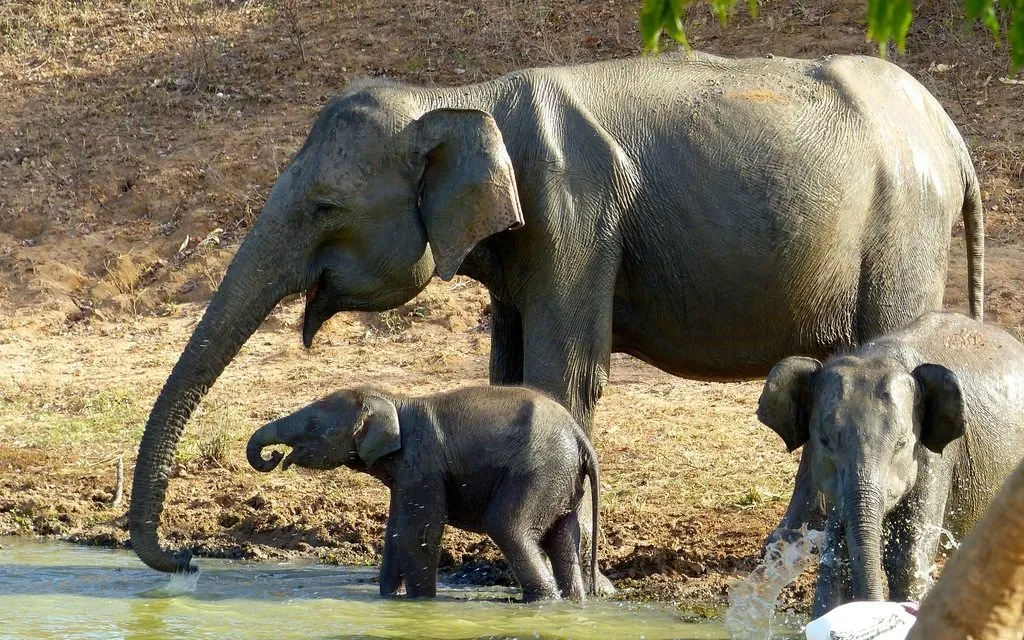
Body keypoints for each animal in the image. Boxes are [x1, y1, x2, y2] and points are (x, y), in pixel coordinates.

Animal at [245, 384, 600, 602]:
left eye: (315, 426)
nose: (275, 456)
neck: (393, 400)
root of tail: (579, 435)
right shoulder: (405, 475)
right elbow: (395, 532)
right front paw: (390, 599)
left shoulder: (422, 467)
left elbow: (419, 531)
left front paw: (420, 603)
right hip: (562, 481)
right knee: (564, 538)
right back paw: (570, 602)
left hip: (538, 472)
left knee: (507, 527)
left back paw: (540, 601)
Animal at [757, 312, 1024, 617]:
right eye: (825, 441)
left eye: (901, 444)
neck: (878, 354)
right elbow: (837, 551)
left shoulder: (935, 458)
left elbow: (906, 559)